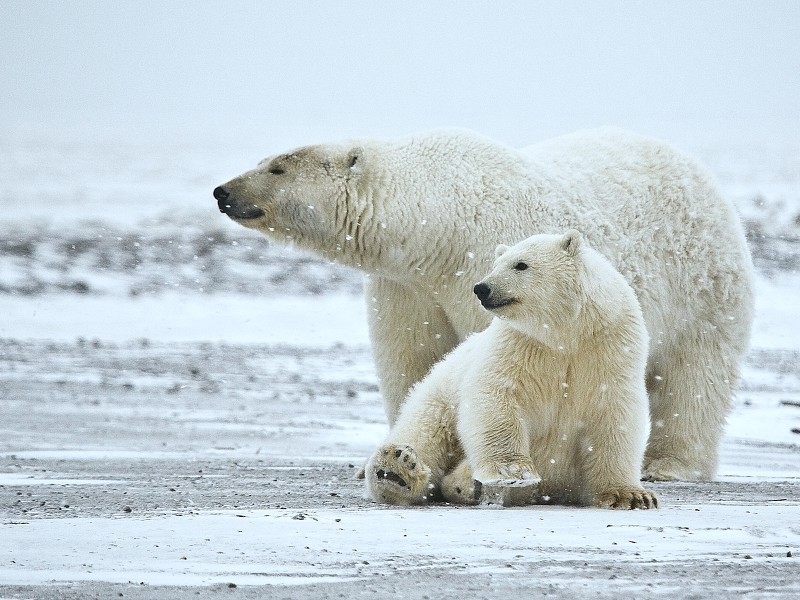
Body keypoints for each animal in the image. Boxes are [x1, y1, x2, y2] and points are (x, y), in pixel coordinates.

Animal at [216, 129, 752, 480]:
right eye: (266, 158)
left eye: (277, 166)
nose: (223, 191)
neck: (437, 223)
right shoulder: (408, 286)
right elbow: (414, 360)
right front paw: (391, 456)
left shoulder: (483, 264)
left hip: (703, 289)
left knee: (694, 378)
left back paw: (669, 465)